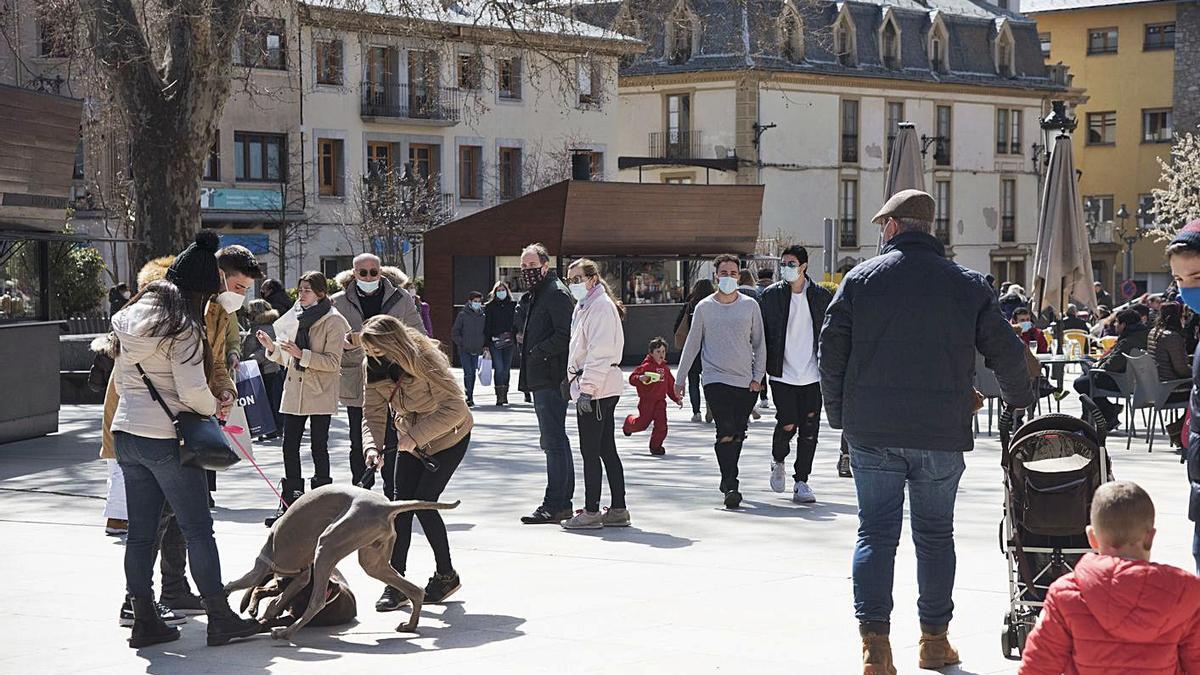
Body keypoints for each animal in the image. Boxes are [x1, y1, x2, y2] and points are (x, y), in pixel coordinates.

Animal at [225, 480, 458, 638]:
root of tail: (386, 507)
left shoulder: (262, 566)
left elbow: (239, 583)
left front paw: (227, 594)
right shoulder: (301, 577)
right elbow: (279, 598)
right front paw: (267, 614)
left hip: (328, 544)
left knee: (318, 601)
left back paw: (286, 632)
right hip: (372, 560)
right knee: (414, 589)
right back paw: (410, 625)